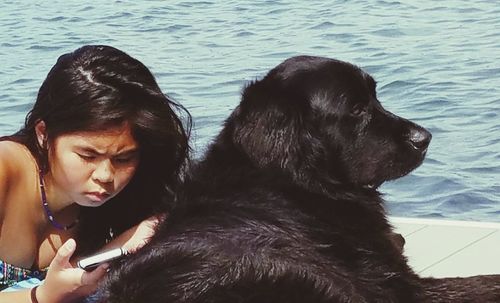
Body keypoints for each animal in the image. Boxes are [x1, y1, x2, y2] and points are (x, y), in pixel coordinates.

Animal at [94, 55, 500, 302]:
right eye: (356, 109)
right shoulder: (399, 286)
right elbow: (479, 283)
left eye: (375, 96)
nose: (424, 138)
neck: (297, 183)